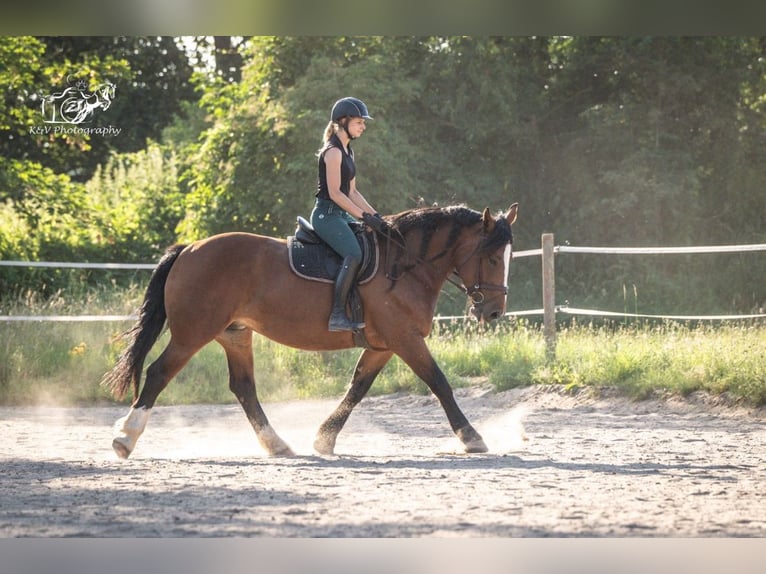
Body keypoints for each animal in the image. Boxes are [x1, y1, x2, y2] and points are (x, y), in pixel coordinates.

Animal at [102, 202, 520, 460]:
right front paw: (471, 437)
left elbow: (357, 388)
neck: (404, 266)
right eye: (490, 257)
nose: (494, 311)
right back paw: (124, 439)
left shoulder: (384, 345)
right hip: (193, 333)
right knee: (159, 373)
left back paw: (277, 445)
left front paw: (324, 438)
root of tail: (189, 249)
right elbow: (439, 383)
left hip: (235, 335)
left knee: (244, 388)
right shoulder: (405, 340)